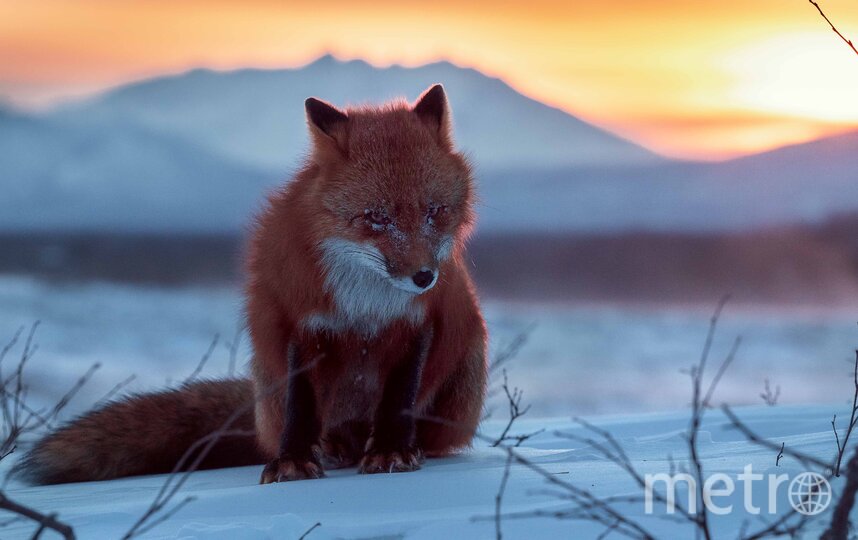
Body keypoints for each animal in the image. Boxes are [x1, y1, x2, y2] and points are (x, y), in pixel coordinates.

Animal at [20, 83, 484, 486]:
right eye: (376, 218)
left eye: (434, 211)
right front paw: (292, 461)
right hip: (269, 374)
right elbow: (301, 406)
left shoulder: (416, 324)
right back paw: (331, 447)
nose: (423, 277)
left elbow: (399, 399)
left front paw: (391, 451)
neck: (366, 303)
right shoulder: (301, 323)